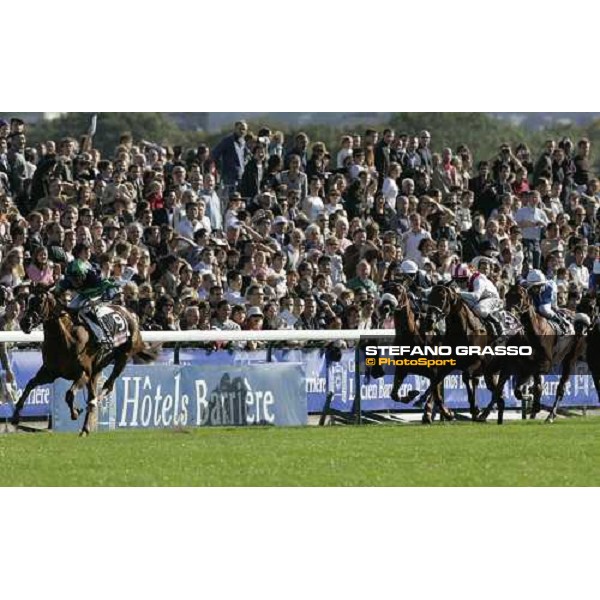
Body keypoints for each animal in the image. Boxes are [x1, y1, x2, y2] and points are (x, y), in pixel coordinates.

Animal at [13, 260, 158, 434]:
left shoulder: (83, 373)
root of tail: (130, 314)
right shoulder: (50, 371)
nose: (24, 323)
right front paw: (16, 415)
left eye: (40, 301)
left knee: (107, 387)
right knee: (94, 391)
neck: (64, 339)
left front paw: (76, 412)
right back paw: (86, 427)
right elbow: (30, 384)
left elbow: (69, 394)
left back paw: (93, 404)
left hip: (122, 357)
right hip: (98, 368)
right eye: (27, 300)